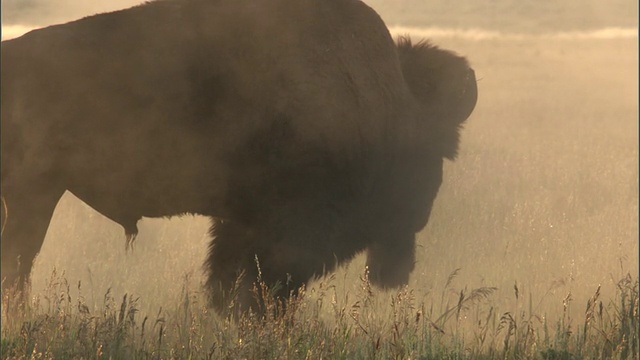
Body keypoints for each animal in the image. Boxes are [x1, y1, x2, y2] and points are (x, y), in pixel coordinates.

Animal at [0, 0, 476, 312]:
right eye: (437, 150)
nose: (417, 217)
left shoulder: (242, 223)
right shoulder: (281, 230)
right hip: (34, 193)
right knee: (18, 262)